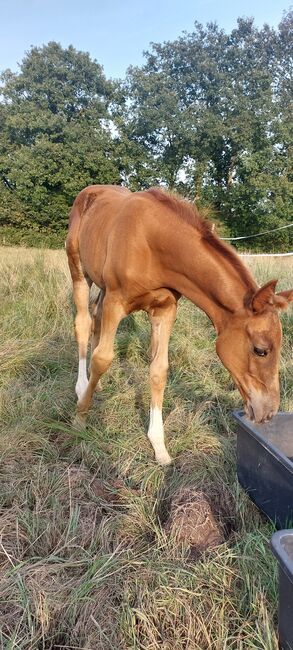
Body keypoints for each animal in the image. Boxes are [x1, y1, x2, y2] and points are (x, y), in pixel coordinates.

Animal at [66, 185, 292, 464]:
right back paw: (82, 386)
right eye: (261, 350)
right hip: (79, 272)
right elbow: (102, 359)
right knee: (83, 324)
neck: (152, 244)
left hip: (103, 288)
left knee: (95, 320)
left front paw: (159, 446)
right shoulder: (116, 301)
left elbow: (158, 370)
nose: (268, 412)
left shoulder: (165, 309)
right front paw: (80, 419)